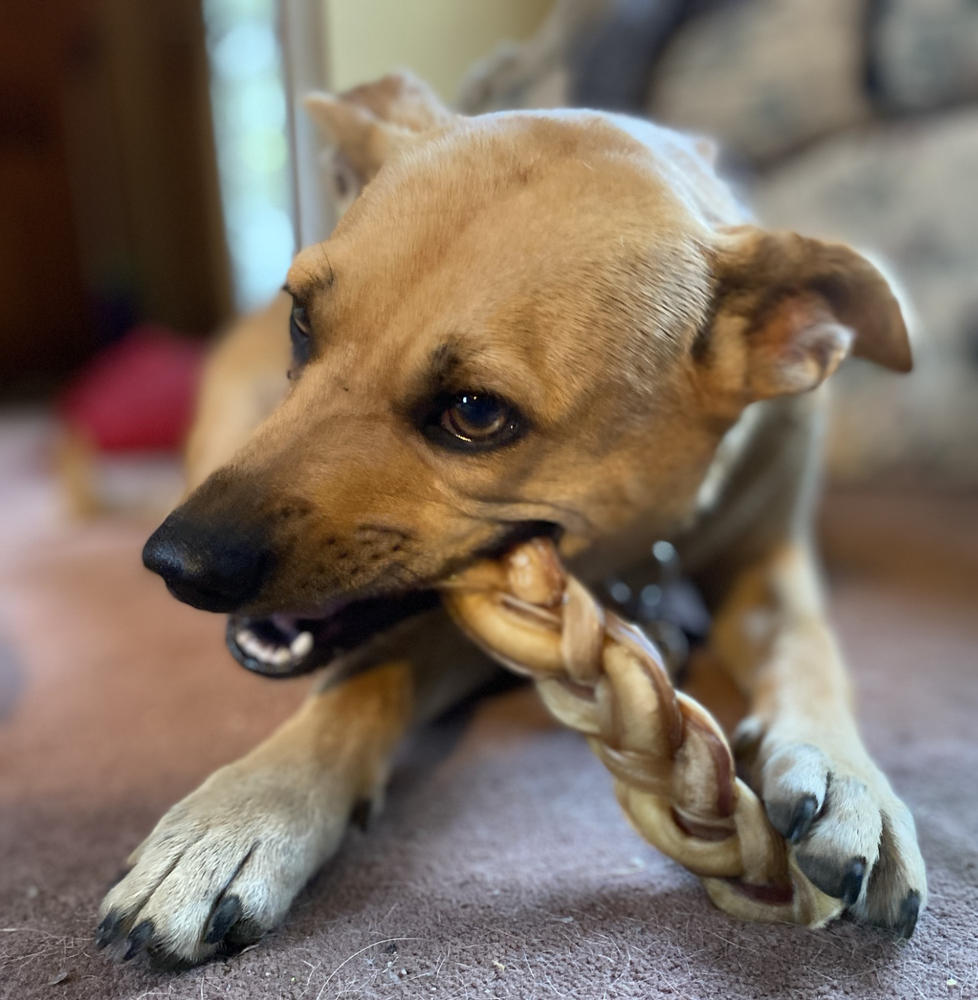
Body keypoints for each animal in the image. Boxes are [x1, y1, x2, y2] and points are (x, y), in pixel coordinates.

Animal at [95, 74, 928, 964]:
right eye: (302, 322)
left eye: (474, 413)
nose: (176, 561)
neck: (650, 554)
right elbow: (365, 679)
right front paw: (241, 814)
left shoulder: (771, 560)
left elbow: (808, 649)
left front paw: (851, 781)